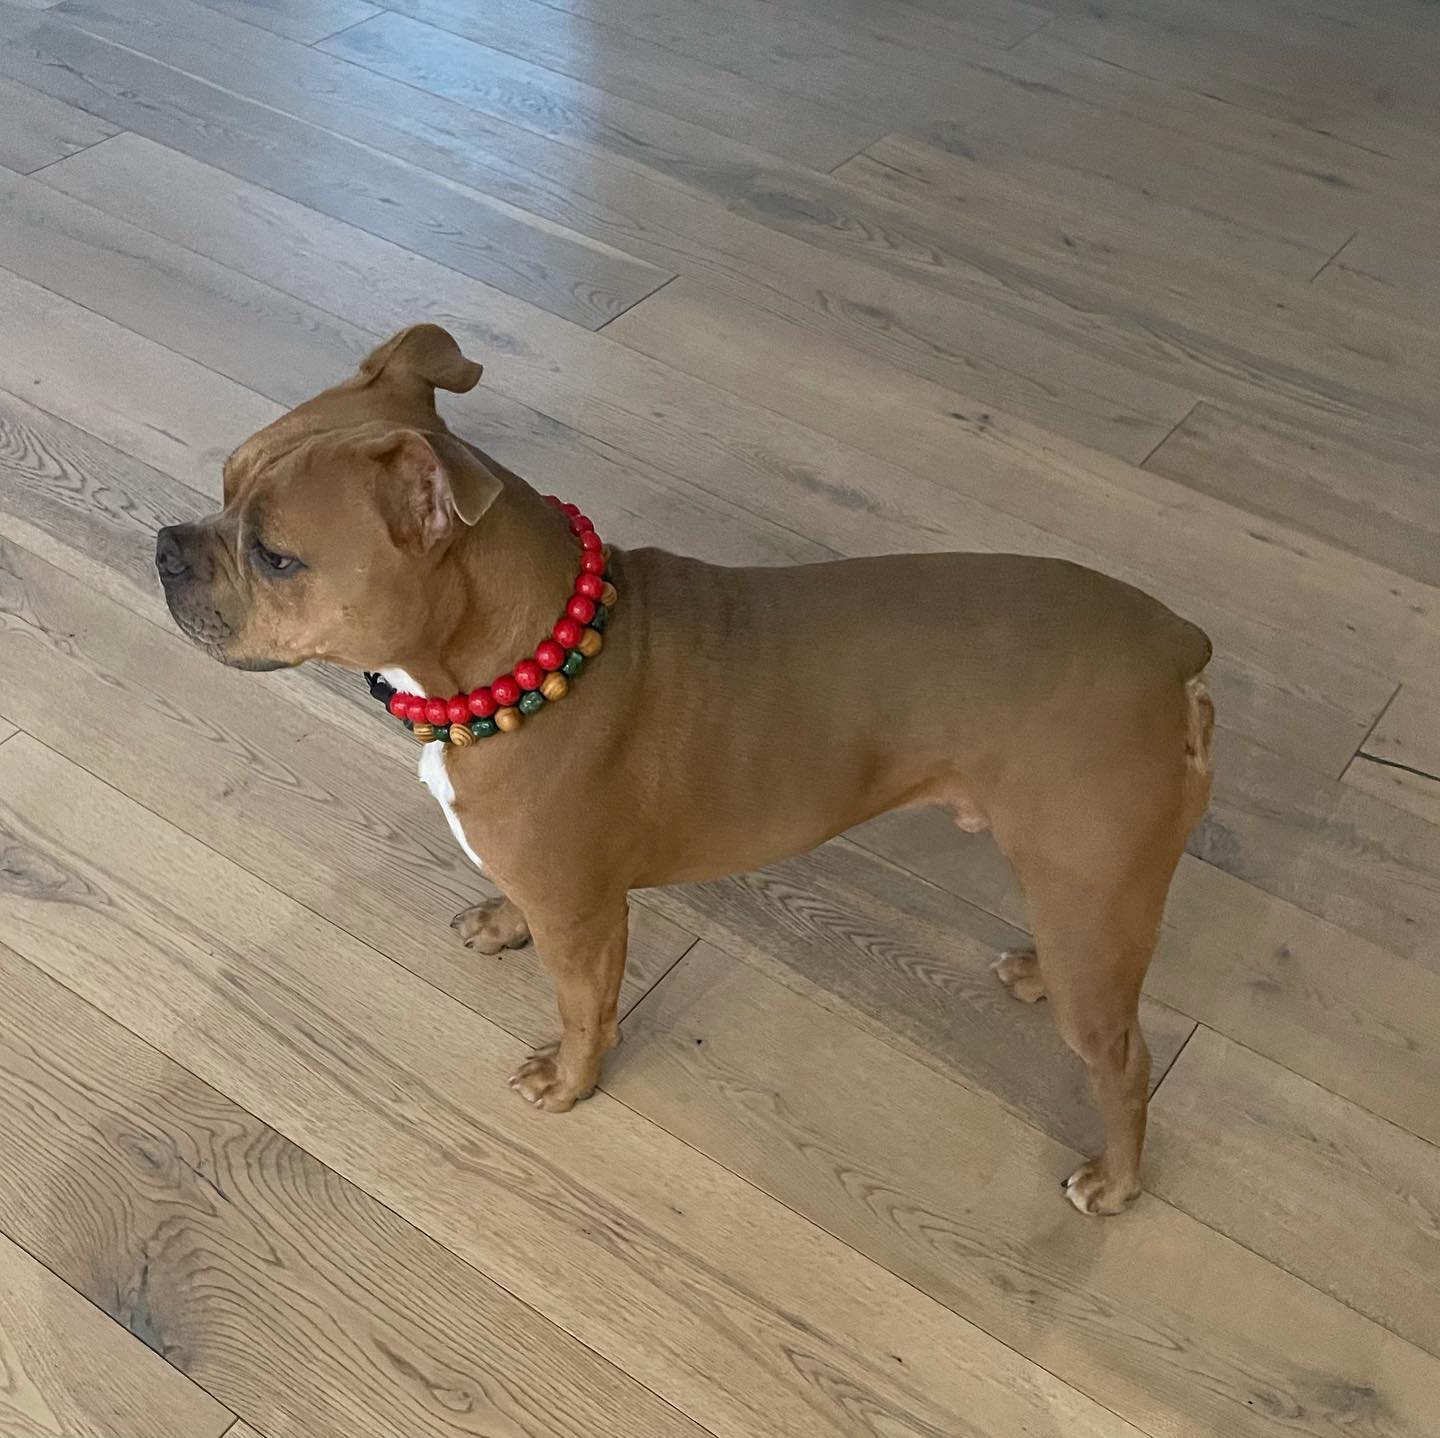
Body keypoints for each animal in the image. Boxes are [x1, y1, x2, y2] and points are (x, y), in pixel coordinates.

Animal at [157, 323, 1209, 1214]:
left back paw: (1115, 1182)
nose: (165, 546)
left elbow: (586, 1012)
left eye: (276, 556)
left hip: (1094, 897)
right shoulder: (550, 888)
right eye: (225, 481)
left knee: (1125, 1063)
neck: (507, 659)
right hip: (1075, 895)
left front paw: (568, 1084)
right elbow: (521, 911)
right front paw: (501, 924)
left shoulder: (588, 920)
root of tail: (1177, 652)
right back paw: (1032, 972)